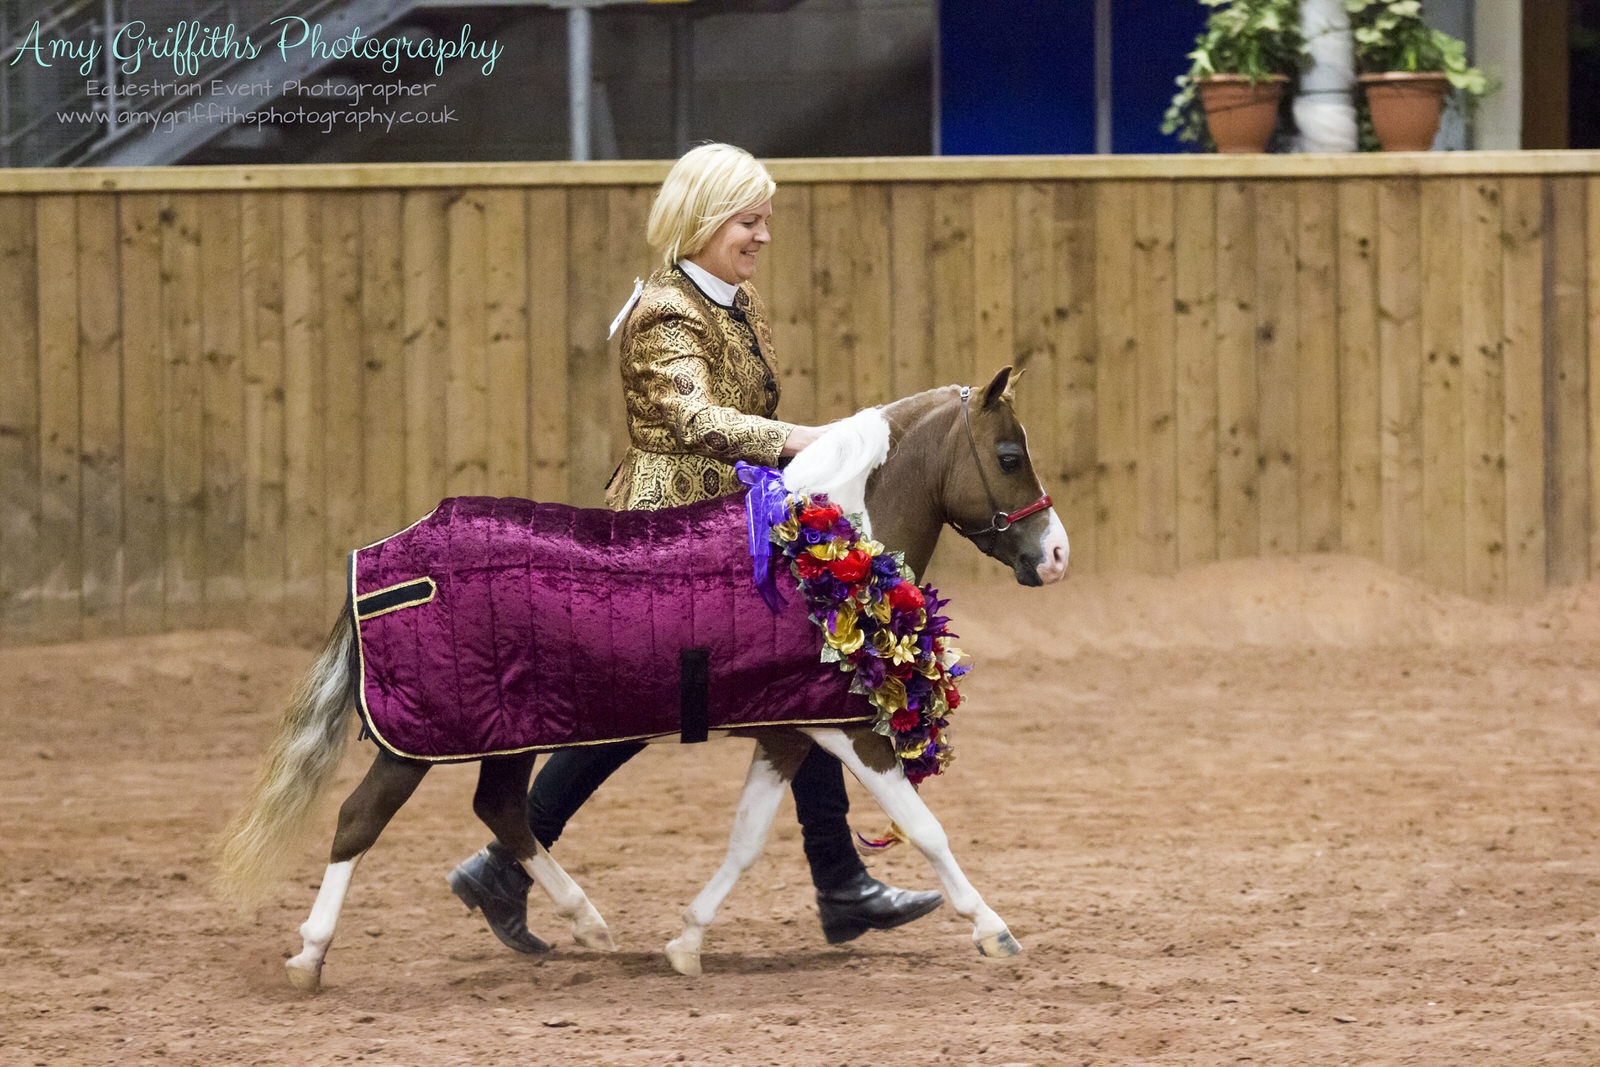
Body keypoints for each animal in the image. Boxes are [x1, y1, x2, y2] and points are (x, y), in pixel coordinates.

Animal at [212, 369, 1062, 991]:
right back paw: (309, 954)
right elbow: (925, 827)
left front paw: (686, 940)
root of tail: (378, 559)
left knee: (502, 808)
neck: (820, 546)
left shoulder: (788, 728)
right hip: (418, 740)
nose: (1055, 554)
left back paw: (583, 922)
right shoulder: (849, 728)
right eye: (1009, 454)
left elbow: (747, 837)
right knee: (361, 818)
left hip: (508, 726)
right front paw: (995, 930)